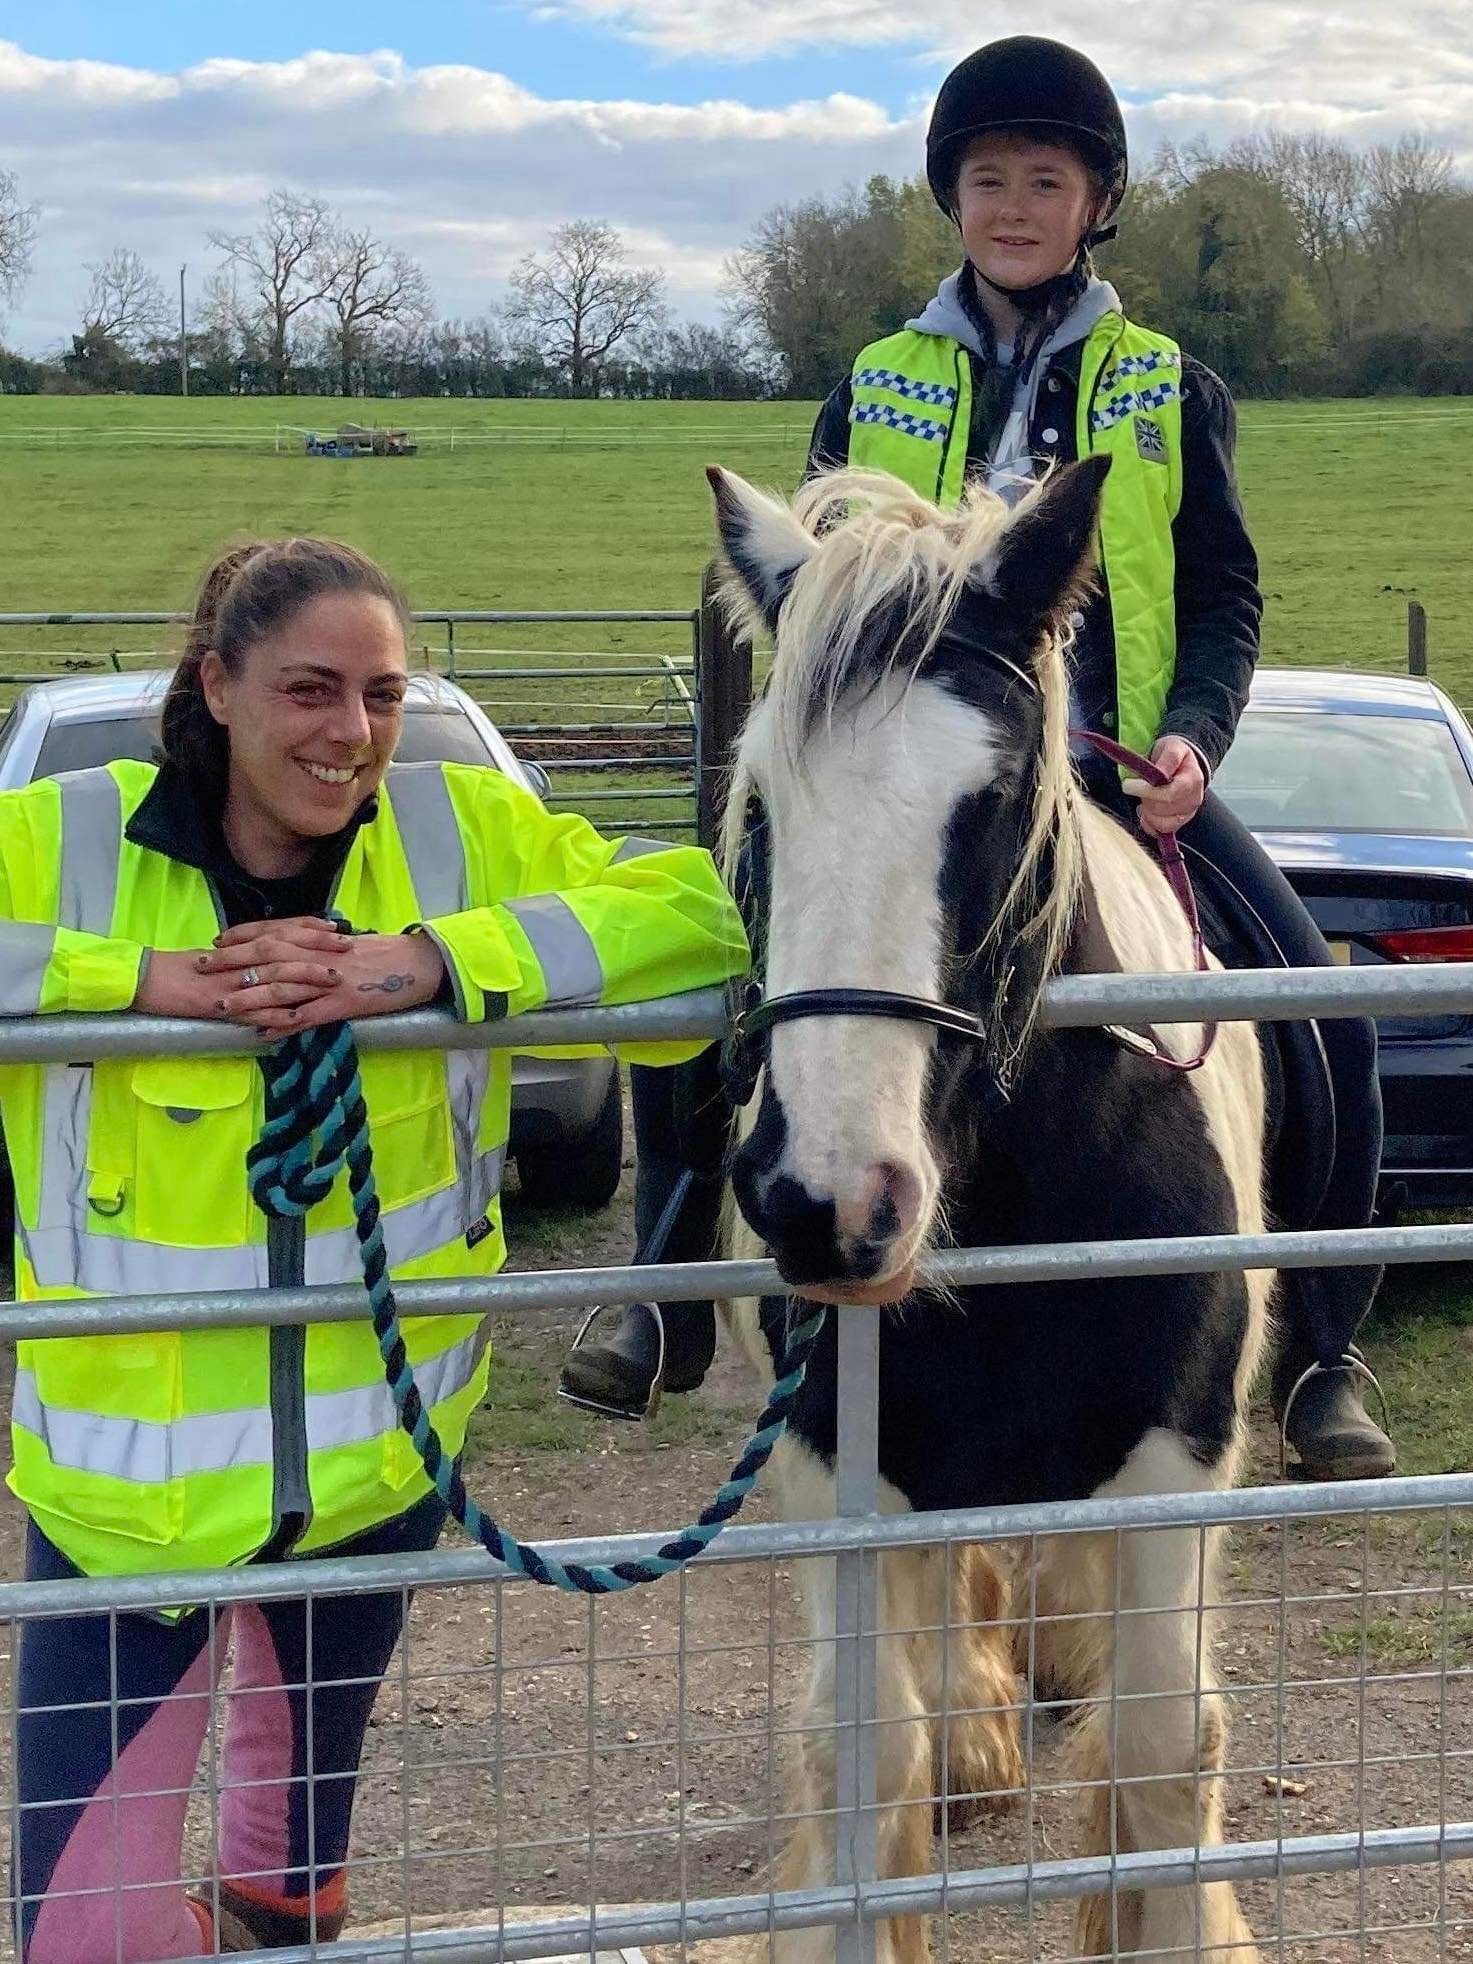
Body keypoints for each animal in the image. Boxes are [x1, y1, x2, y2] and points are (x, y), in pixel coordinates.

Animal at [708, 455, 1272, 1963]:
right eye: (760, 804)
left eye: (1000, 792)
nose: (826, 1198)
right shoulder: (840, 1471)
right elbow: (867, 1755)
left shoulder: (1175, 1461)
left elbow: (1162, 1747)